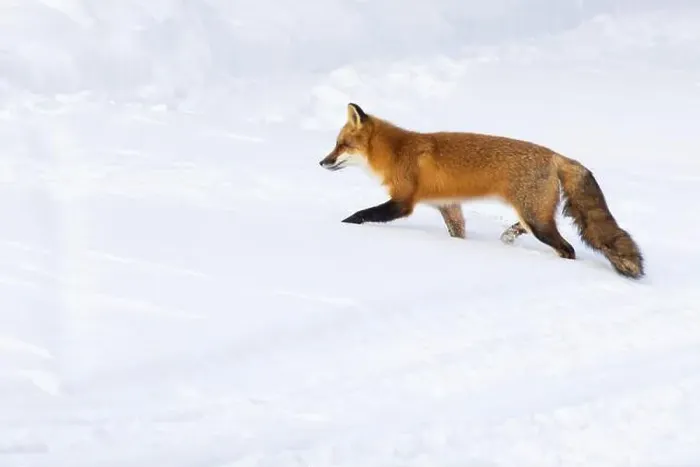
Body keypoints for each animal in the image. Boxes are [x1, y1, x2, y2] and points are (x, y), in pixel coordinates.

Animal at [319, 103, 644, 279]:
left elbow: (360, 214)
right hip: (534, 215)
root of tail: (555, 155)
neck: (397, 152)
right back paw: (509, 235)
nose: (322, 162)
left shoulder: (403, 201)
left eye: (342, 145)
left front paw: (343, 228)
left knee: (568, 249)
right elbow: (457, 233)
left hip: (538, 222)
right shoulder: (449, 206)